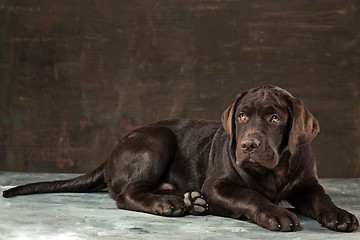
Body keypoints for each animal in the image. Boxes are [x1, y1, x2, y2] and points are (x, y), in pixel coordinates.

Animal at [2, 85, 358, 232]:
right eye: (242, 116)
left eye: (274, 118)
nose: (247, 145)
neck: (274, 170)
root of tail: (112, 152)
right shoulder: (220, 186)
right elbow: (251, 196)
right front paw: (276, 213)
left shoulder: (308, 185)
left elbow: (323, 198)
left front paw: (340, 215)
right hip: (158, 139)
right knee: (126, 194)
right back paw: (169, 203)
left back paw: (189, 199)